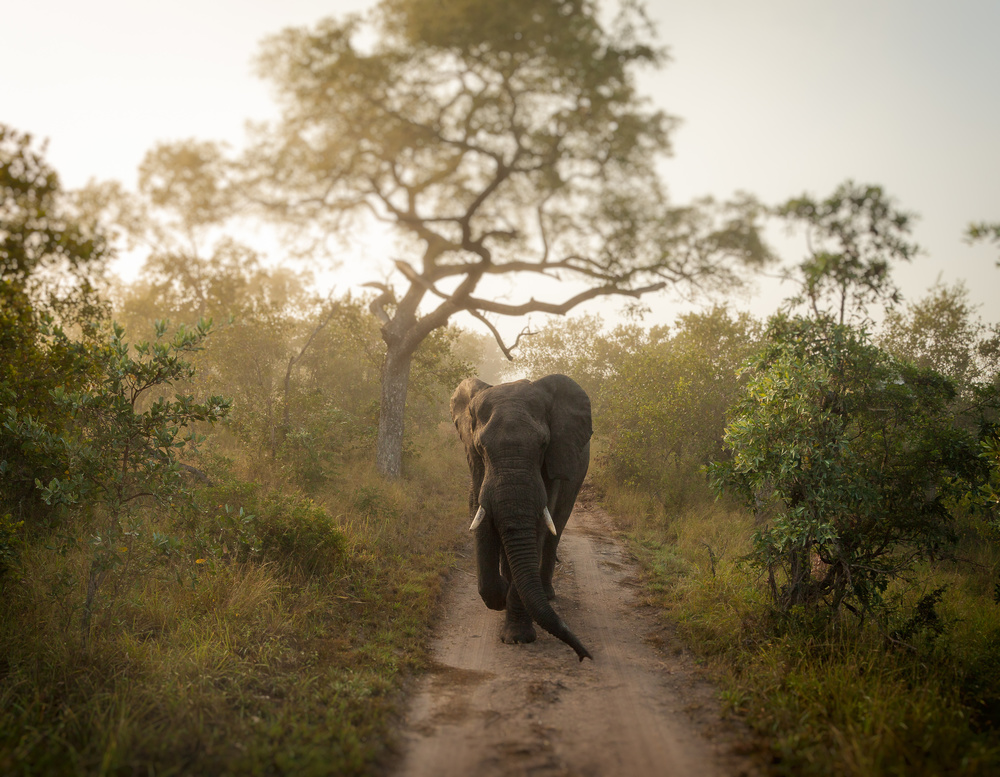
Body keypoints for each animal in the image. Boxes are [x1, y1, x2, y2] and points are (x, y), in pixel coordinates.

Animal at [450, 372, 588, 656]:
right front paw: (500, 594)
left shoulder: (551, 464)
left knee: (555, 530)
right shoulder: (476, 465)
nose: (584, 655)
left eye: (543, 445)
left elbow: (538, 528)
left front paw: (517, 638)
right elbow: (478, 512)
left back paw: (546, 593)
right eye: (480, 447)